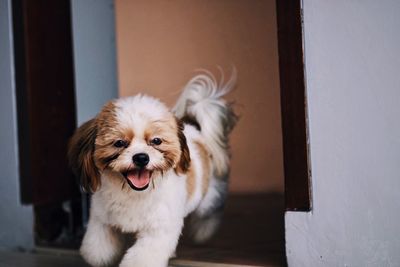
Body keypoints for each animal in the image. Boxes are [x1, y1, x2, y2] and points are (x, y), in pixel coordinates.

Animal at [69, 72, 238, 266]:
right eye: (119, 143)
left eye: (156, 141)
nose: (141, 157)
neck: (134, 193)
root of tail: (195, 129)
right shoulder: (102, 220)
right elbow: (96, 249)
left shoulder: (159, 229)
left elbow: (143, 257)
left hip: (208, 198)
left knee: (210, 211)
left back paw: (204, 232)